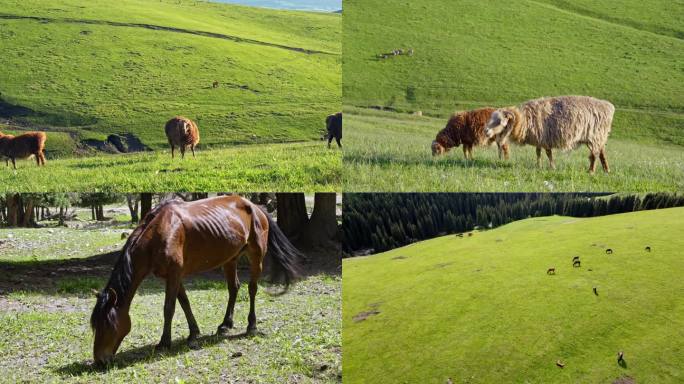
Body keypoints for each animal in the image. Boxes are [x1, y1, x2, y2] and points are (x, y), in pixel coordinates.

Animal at [88, 196, 300, 364]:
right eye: (95, 325)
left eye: (107, 324)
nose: (99, 360)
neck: (158, 232)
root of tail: (255, 207)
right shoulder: (173, 276)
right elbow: (184, 303)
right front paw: (193, 334)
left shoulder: (174, 274)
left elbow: (169, 308)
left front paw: (164, 342)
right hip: (230, 259)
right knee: (234, 288)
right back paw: (225, 324)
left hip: (256, 256)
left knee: (252, 289)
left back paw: (251, 326)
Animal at [484, 96, 616, 172]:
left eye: (499, 121)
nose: (486, 131)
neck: (524, 120)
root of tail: (609, 107)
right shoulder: (539, 139)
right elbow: (538, 152)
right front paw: (539, 166)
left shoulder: (545, 138)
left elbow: (548, 154)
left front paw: (552, 167)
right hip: (599, 137)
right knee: (602, 152)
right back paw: (606, 170)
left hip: (594, 136)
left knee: (594, 155)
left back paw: (591, 171)